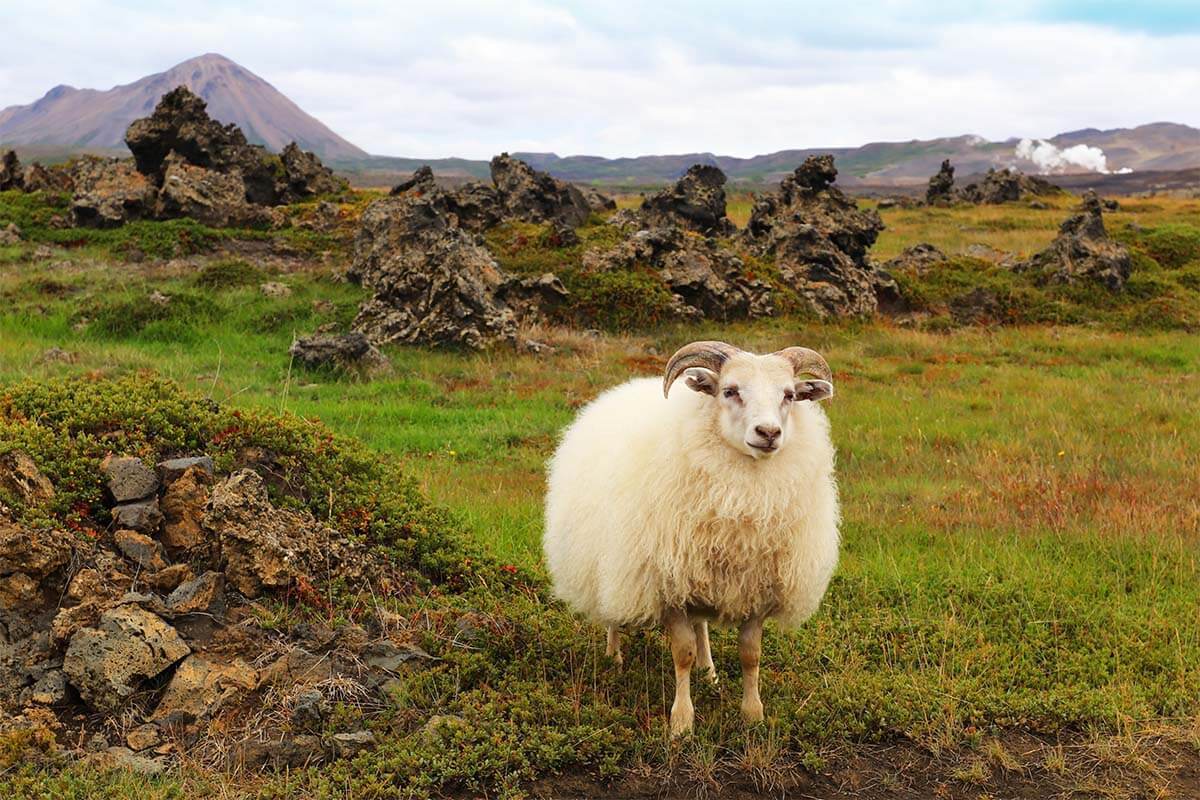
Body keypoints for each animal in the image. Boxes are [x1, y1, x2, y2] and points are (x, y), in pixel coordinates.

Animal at [547, 340, 840, 734]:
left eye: (790, 395)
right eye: (729, 391)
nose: (768, 433)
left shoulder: (756, 590)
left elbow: (751, 655)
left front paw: (753, 714)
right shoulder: (669, 588)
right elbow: (681, 654)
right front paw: (682, 723)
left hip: (701, 576)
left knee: (701, 625)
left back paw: (709, 670)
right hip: (612, 560)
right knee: (611, 610)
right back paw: (614, 657)